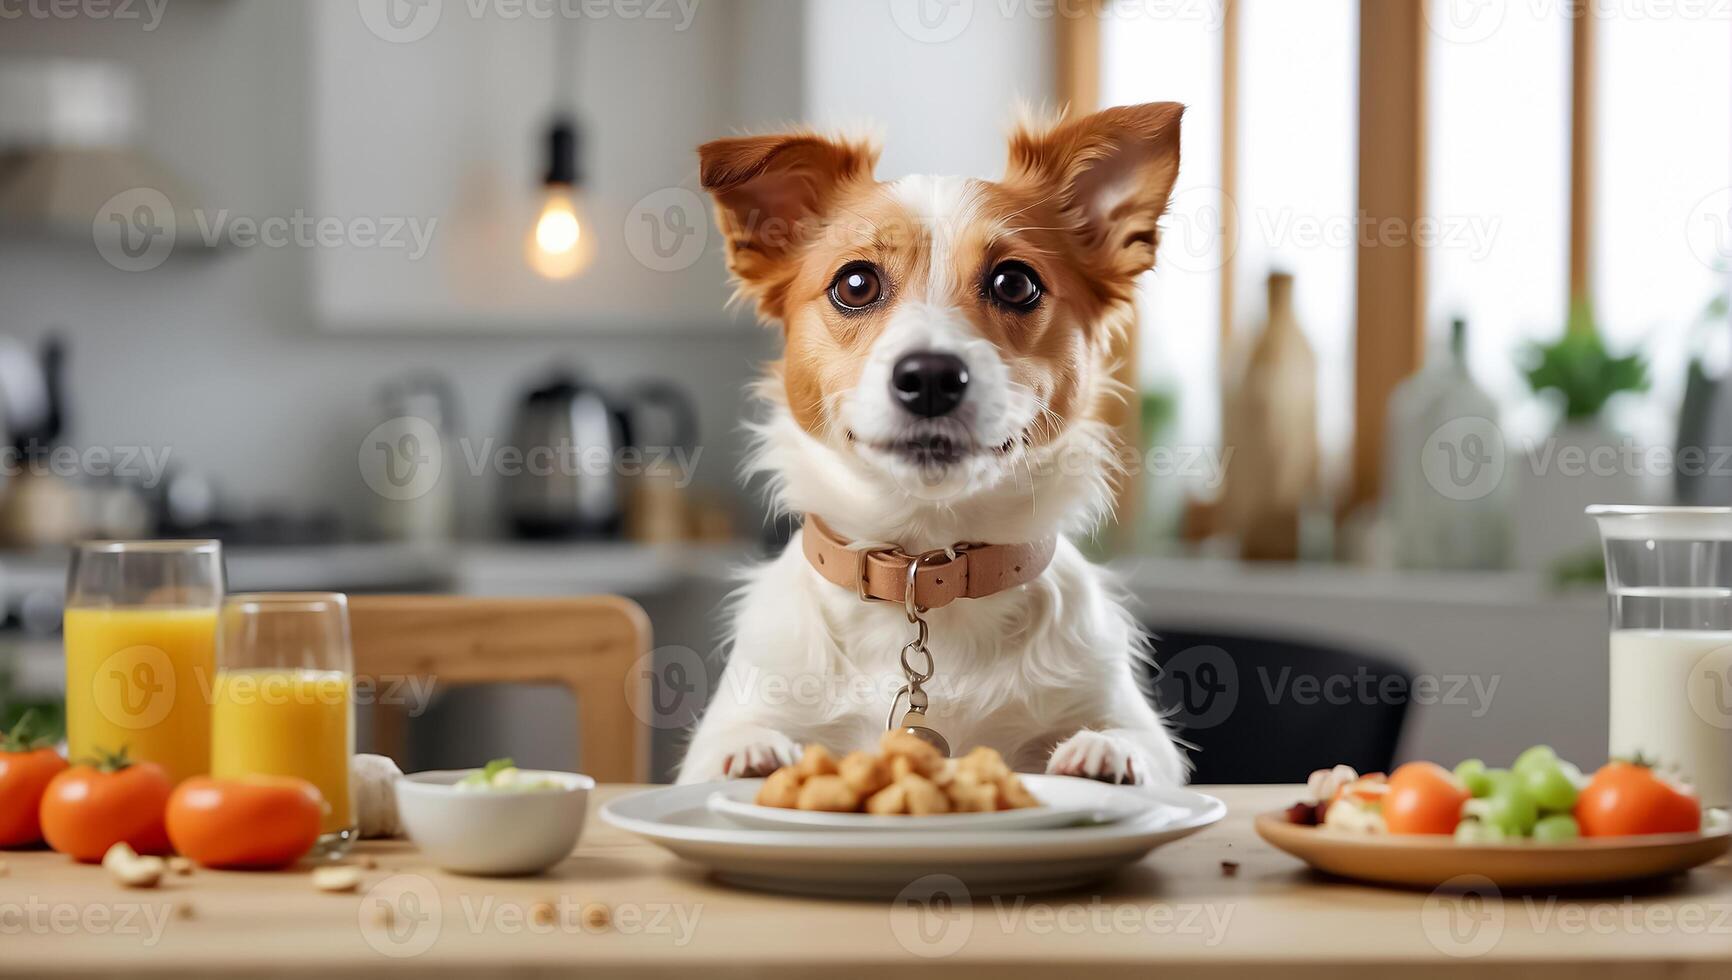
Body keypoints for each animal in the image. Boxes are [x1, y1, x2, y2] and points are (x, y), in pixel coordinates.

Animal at [675, 101, 1191, 793]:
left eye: (1014, 283)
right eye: (855, 283)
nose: (930, 377)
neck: (924, 567)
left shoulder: (1120, 709)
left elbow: (1139, 745)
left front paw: (1106, 754)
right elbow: (727, 747)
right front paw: (754, 753)